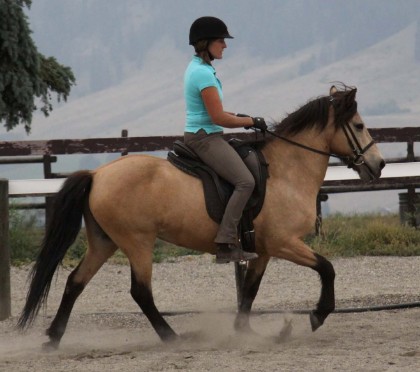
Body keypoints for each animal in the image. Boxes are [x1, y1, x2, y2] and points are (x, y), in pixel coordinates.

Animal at [18, 84, 388, 348]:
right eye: (359, 125)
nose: (379, 165)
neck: (285, 172)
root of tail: (98, 175)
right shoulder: (284, 243)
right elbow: (327, 268)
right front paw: (316, 315)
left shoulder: (263, 250)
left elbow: (250, 290)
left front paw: (245, 331)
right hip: (137, 242)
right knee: (140, 292)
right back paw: (172, 337)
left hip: (104, 242)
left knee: (75, 282)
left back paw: (53, 338)